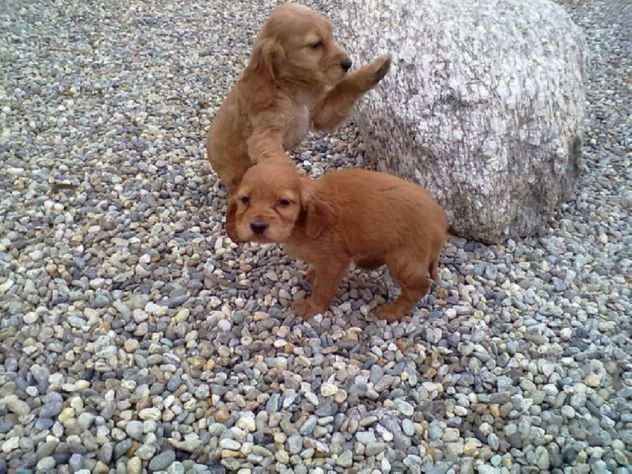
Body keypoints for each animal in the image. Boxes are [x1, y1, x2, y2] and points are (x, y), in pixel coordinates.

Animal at [209, 3, 390, 190]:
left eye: (331, 36)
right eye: (316, 44)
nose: (348, 63)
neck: (292, 88)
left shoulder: (321, 112)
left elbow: (345, 86)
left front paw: (376, 68)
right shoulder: (264, 133)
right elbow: (276, 159)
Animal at [227, 160, 450, 322]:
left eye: (284, 202)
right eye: (244, 200)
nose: (257, 226)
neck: (301, 225)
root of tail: (441, 221)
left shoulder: (333, 262)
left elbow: (322, 289)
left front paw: (312, 306)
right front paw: (312, 274)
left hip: (403, 262)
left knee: (419, 288)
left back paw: (393, 311)